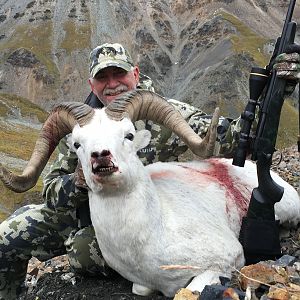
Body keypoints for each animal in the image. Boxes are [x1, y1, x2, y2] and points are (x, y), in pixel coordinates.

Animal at [0, 90, 300, 296]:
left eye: (129, 135)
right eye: (77, 144)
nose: (101, 157)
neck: (151, 235)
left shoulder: (227, 260)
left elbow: (194, 287)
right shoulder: (142, 284)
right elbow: (142, 290)